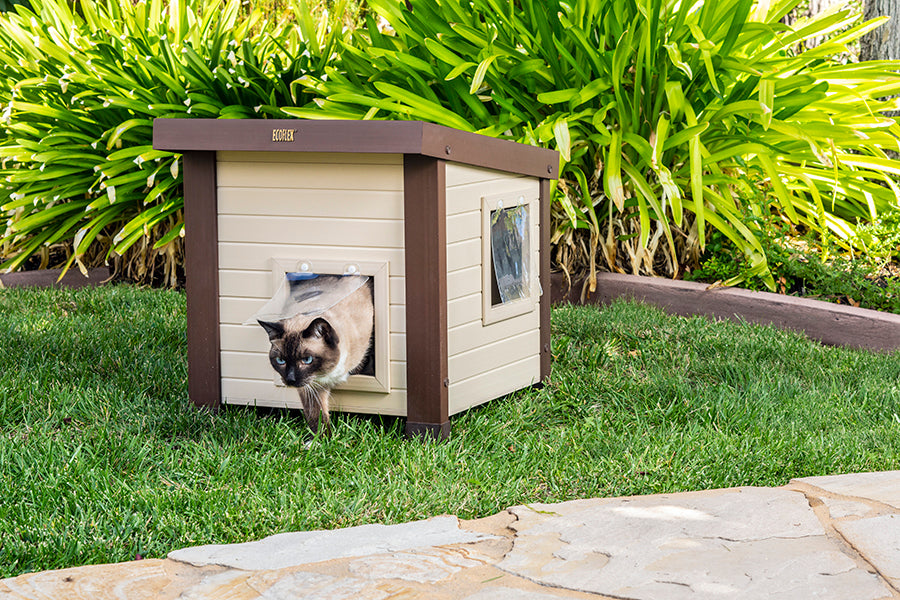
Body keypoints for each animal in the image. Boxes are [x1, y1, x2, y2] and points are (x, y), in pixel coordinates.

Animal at [258, 278, 374, 428]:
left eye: (307, 359)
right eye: (281, 361)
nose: (290, 379)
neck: (326, 374)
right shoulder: (310, 388)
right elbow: (317, 418)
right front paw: (322, 435)